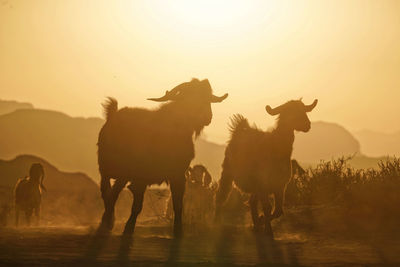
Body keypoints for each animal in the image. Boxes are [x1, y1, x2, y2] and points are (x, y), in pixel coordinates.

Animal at [97, 78, 228, 237]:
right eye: (189, 95)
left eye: (208, 97)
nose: (207, 117)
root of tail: (113, 114)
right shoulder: (141, 177)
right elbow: (137, 205)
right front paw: (128, 230)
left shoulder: (178, 175)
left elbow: (178, 205)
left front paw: (178, 232)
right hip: (107, 168)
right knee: (108, 193)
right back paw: (107, 222)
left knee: (112, 193)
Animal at [214, 99, 318, 236]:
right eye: (291, 112)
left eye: (303, 110)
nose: (308, 125)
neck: (275, 148)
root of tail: (239, 130)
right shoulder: (263, 185)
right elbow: (267, 207)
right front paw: (268, 229)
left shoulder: (280, 186)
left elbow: (279, 210)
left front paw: (261, 220)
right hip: (228, 172)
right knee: (221, 194)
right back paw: (216, 222)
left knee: (252, 202)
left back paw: (256, 224)